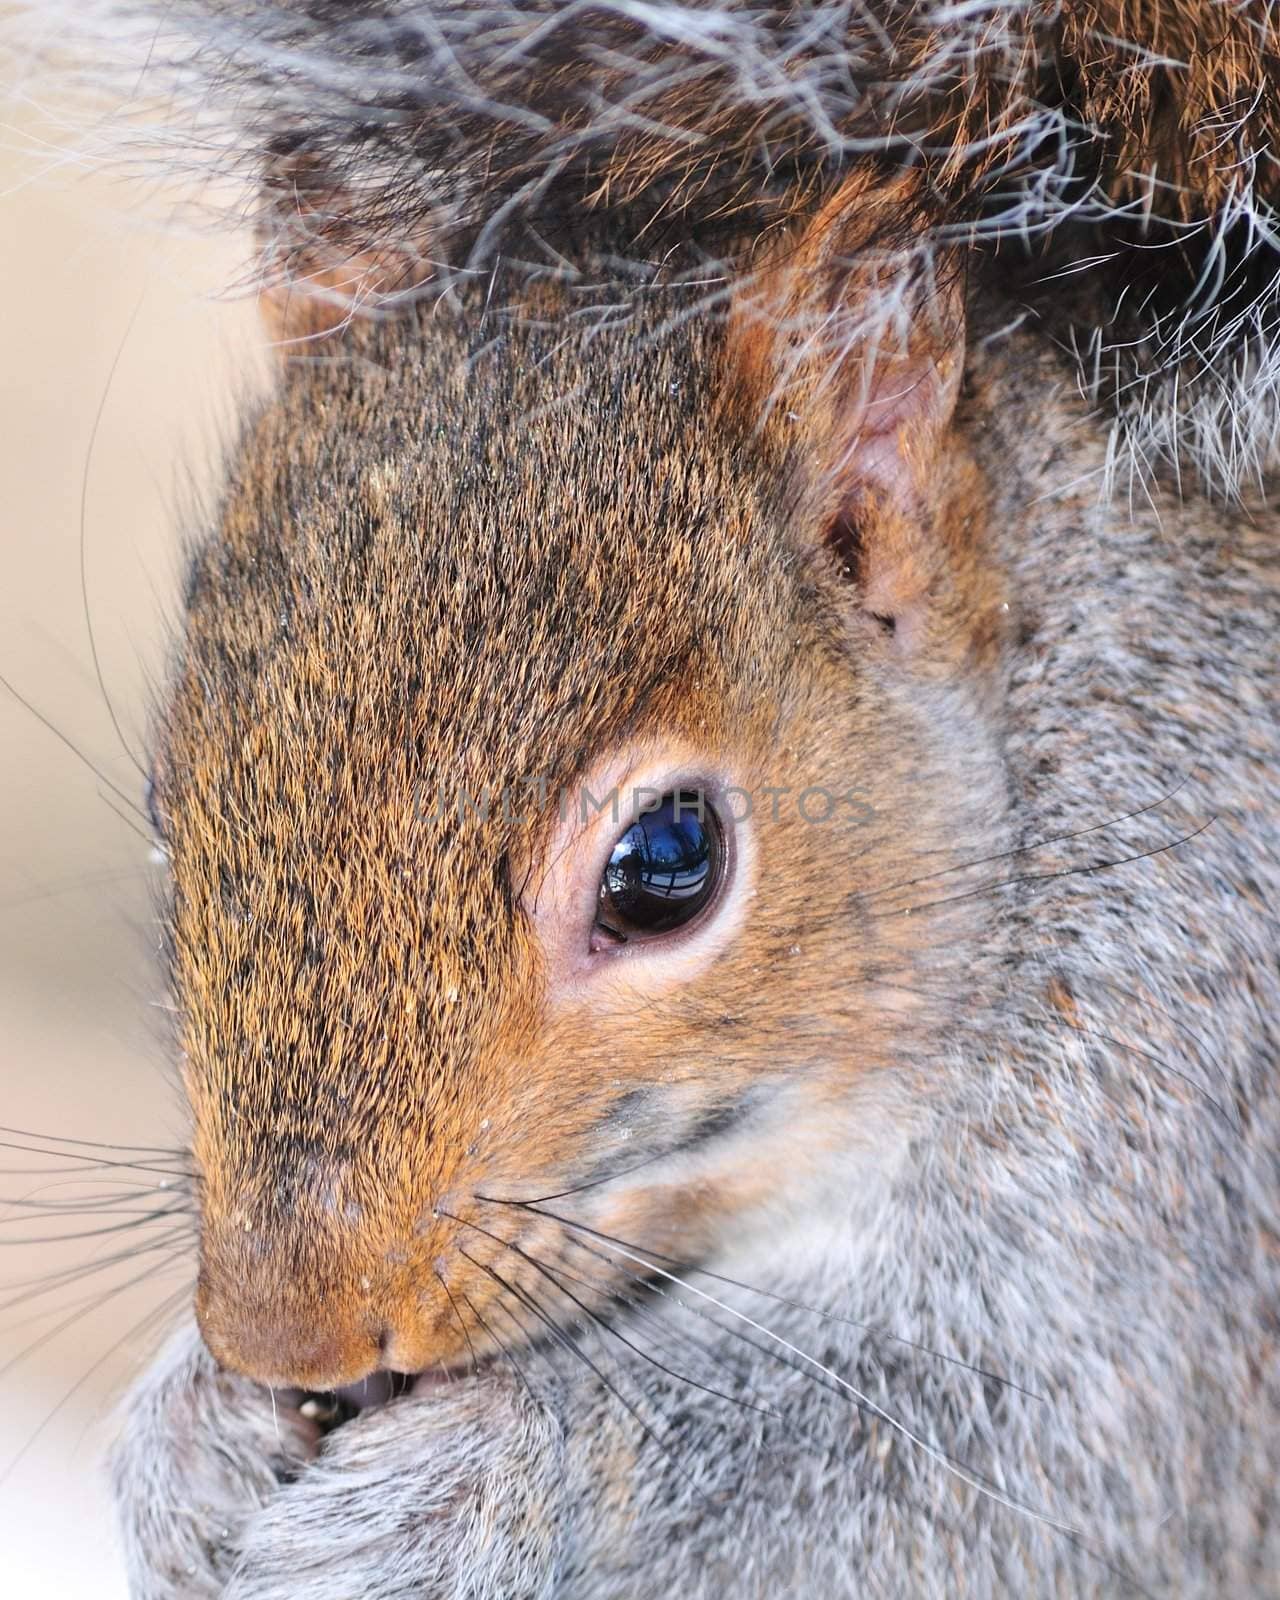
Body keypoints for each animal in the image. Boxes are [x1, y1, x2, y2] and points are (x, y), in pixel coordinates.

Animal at [30, 3, 1280, 1600]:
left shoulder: (1178, 1126)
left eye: (669, 863)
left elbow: (1007, 1470)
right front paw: (189, 1443)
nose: (281, 1336)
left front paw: (467, 1496)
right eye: (166, 802)